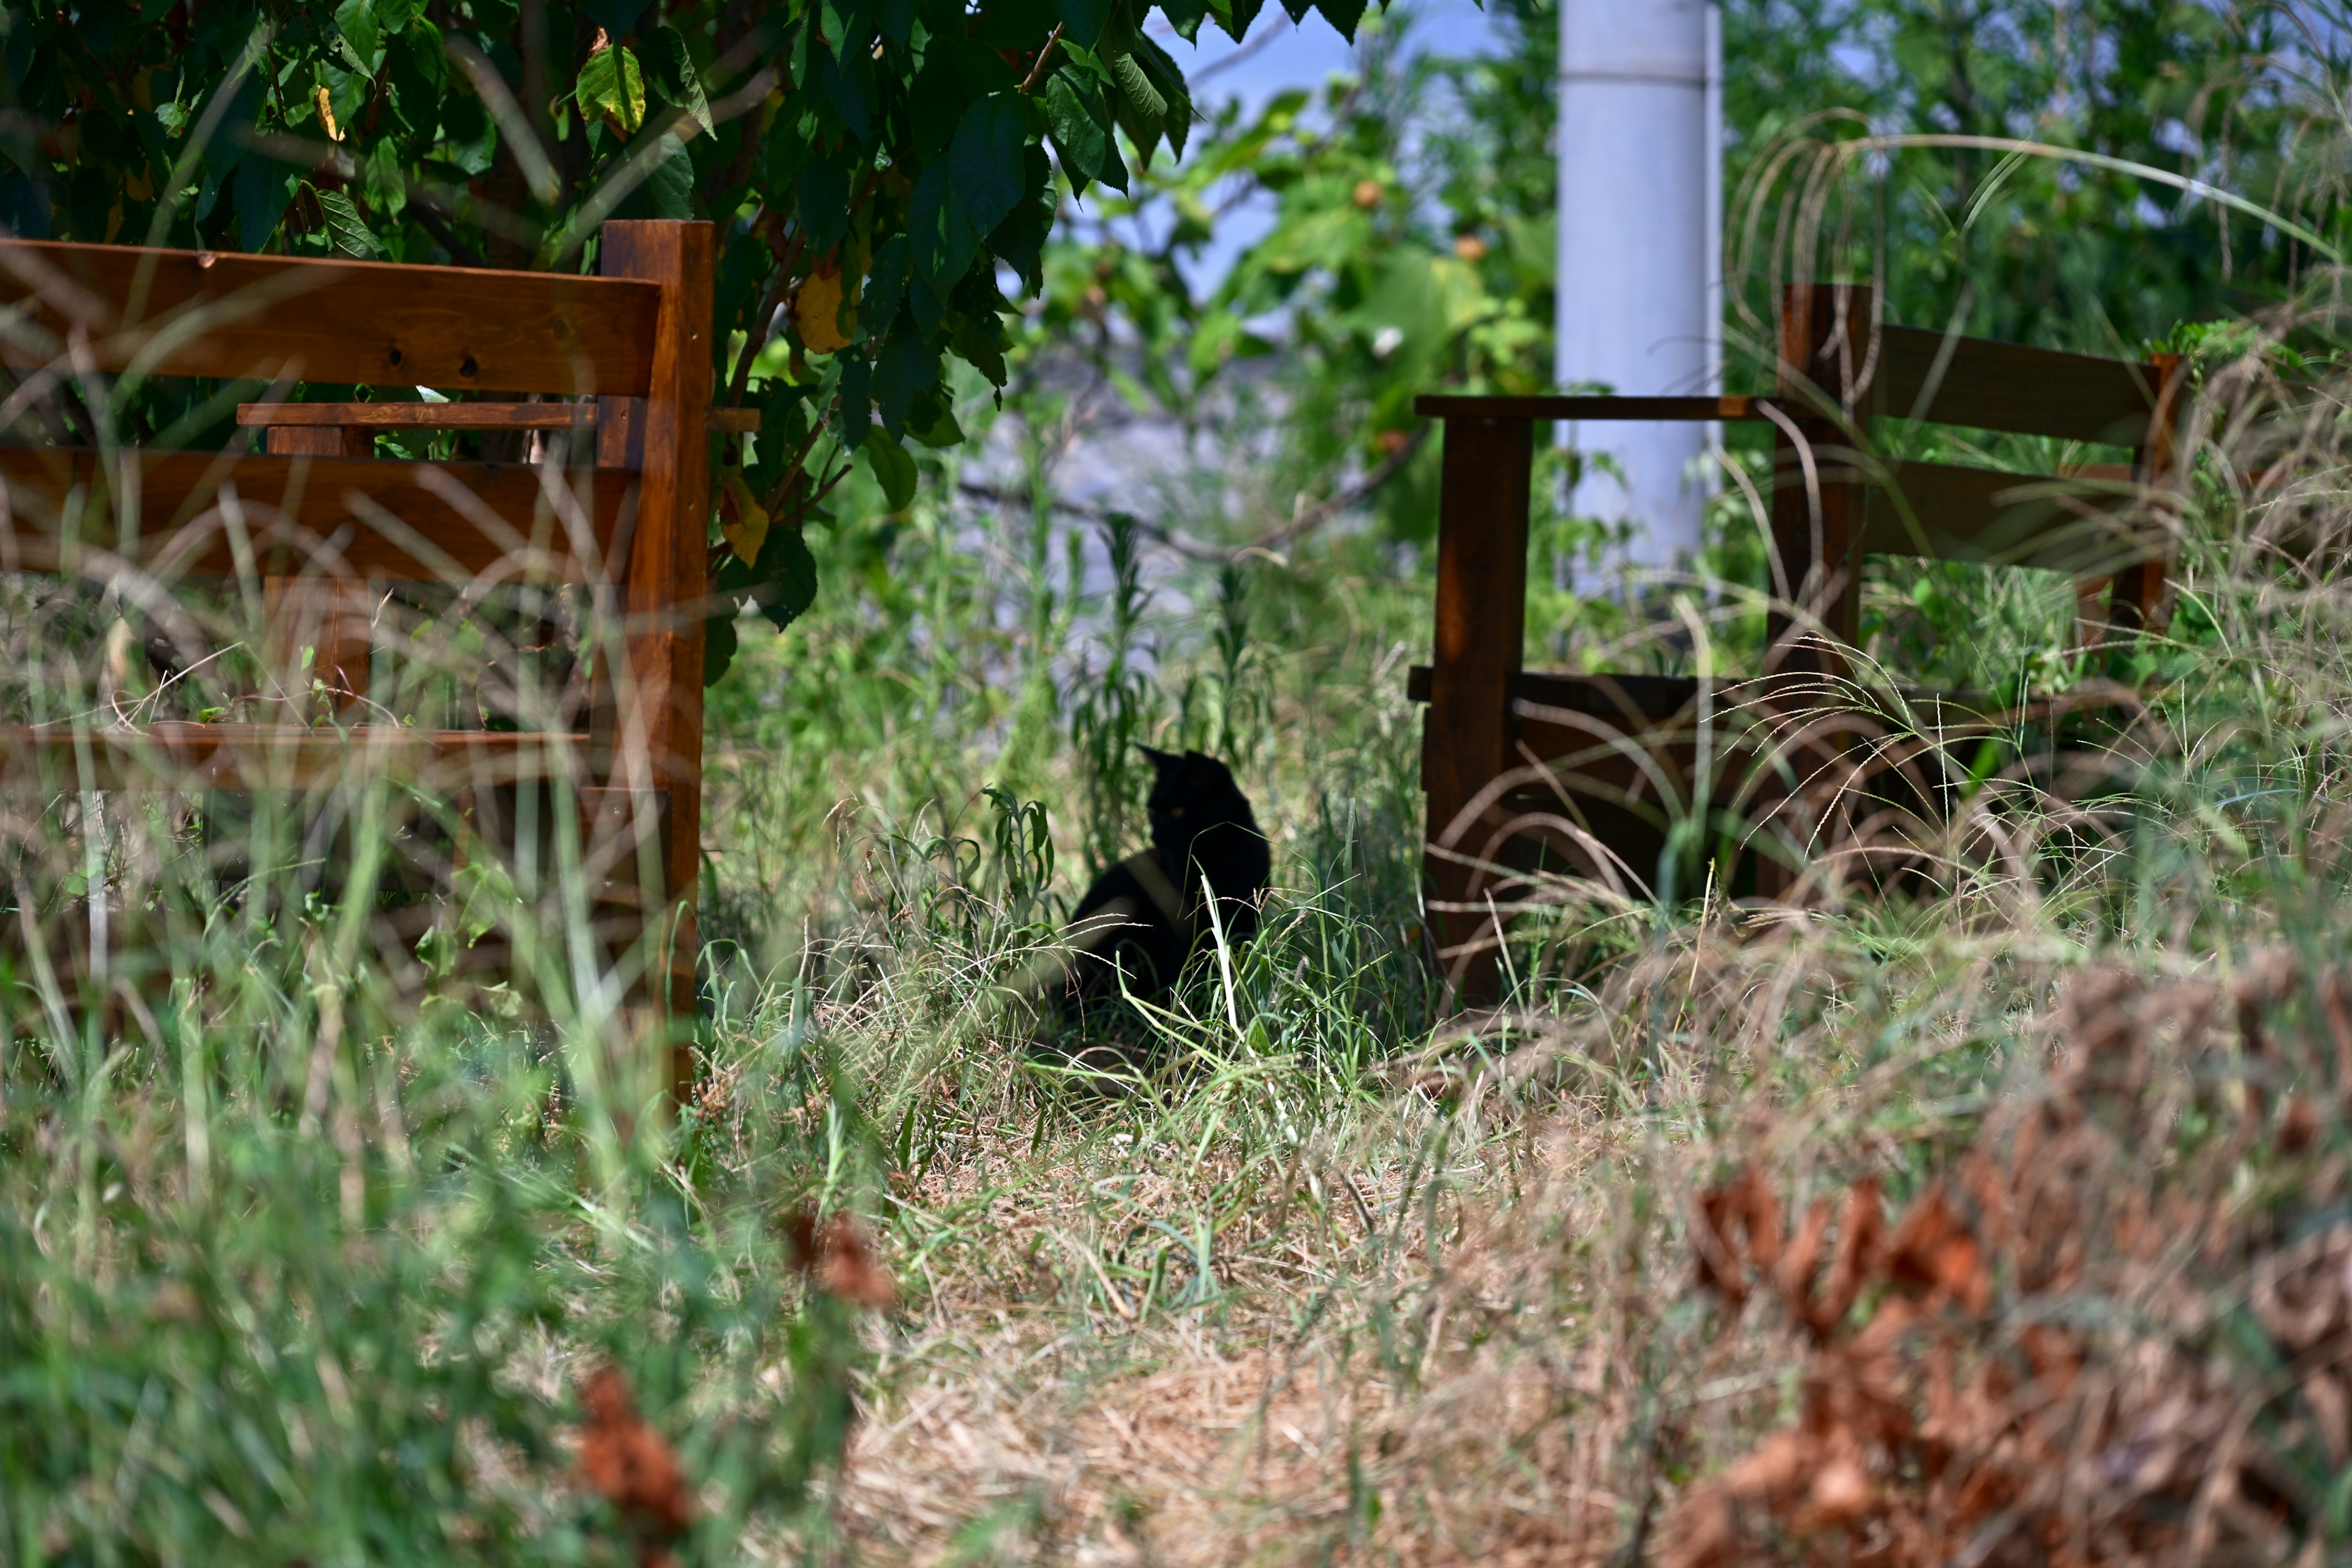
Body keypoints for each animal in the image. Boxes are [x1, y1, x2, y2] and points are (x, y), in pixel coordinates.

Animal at [1063, 752, 1270, 1025]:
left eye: (1176, 811)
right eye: (1152, 811)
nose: (1155, 836)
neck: (1221, 857)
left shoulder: (1242, 922)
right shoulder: (1184, 930)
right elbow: (1188, 976)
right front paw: (1195, 1017)